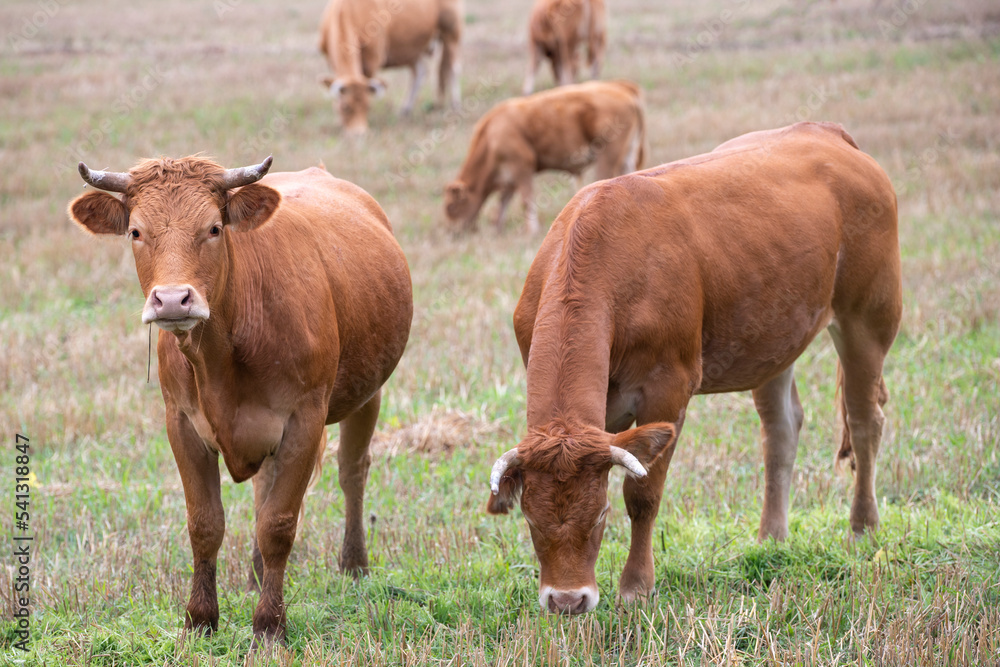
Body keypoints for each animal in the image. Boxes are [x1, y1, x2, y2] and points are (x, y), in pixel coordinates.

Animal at [67, 155, 410, 640]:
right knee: (266, 487)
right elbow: (205, 523)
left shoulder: (305, 419)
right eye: (135, 231)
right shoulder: (181, 422)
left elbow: (279, 525)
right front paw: (199, 619)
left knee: (352, 472)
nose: (172, 300)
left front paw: (269, 624)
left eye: (213, 228)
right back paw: (255, 572)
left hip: (368, 393)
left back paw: (353, 565)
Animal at [318, 0, 462, 134]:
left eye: (368, 106)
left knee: (452, 68)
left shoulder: (372, 60)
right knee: (420, 72)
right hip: (413, 50)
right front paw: (339, 121)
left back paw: (455, 106)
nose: (359, 133)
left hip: (451, 32)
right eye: (345, 107)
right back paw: (405, 110)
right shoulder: (331, 60)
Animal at [444, 80, 644, 235]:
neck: (491, 135)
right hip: (627, 156)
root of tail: (622, 87)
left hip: (607, 157)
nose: (452, 232)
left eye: (451, 207)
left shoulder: (522, 167)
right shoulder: (509, 178)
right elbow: (502, 203)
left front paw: (531, 231)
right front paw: (496, 229)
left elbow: (526, 200)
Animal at [488, 121, 904, 616]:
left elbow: (643, 494)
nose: (568, 600)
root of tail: (825, 132)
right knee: (782, 430)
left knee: (864, 421)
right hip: (775, 335)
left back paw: (862, 527)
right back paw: (771, 539)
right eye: (531, 518)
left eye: (600, 515)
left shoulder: (668, 388)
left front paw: (636, 586)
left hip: (869, 316)